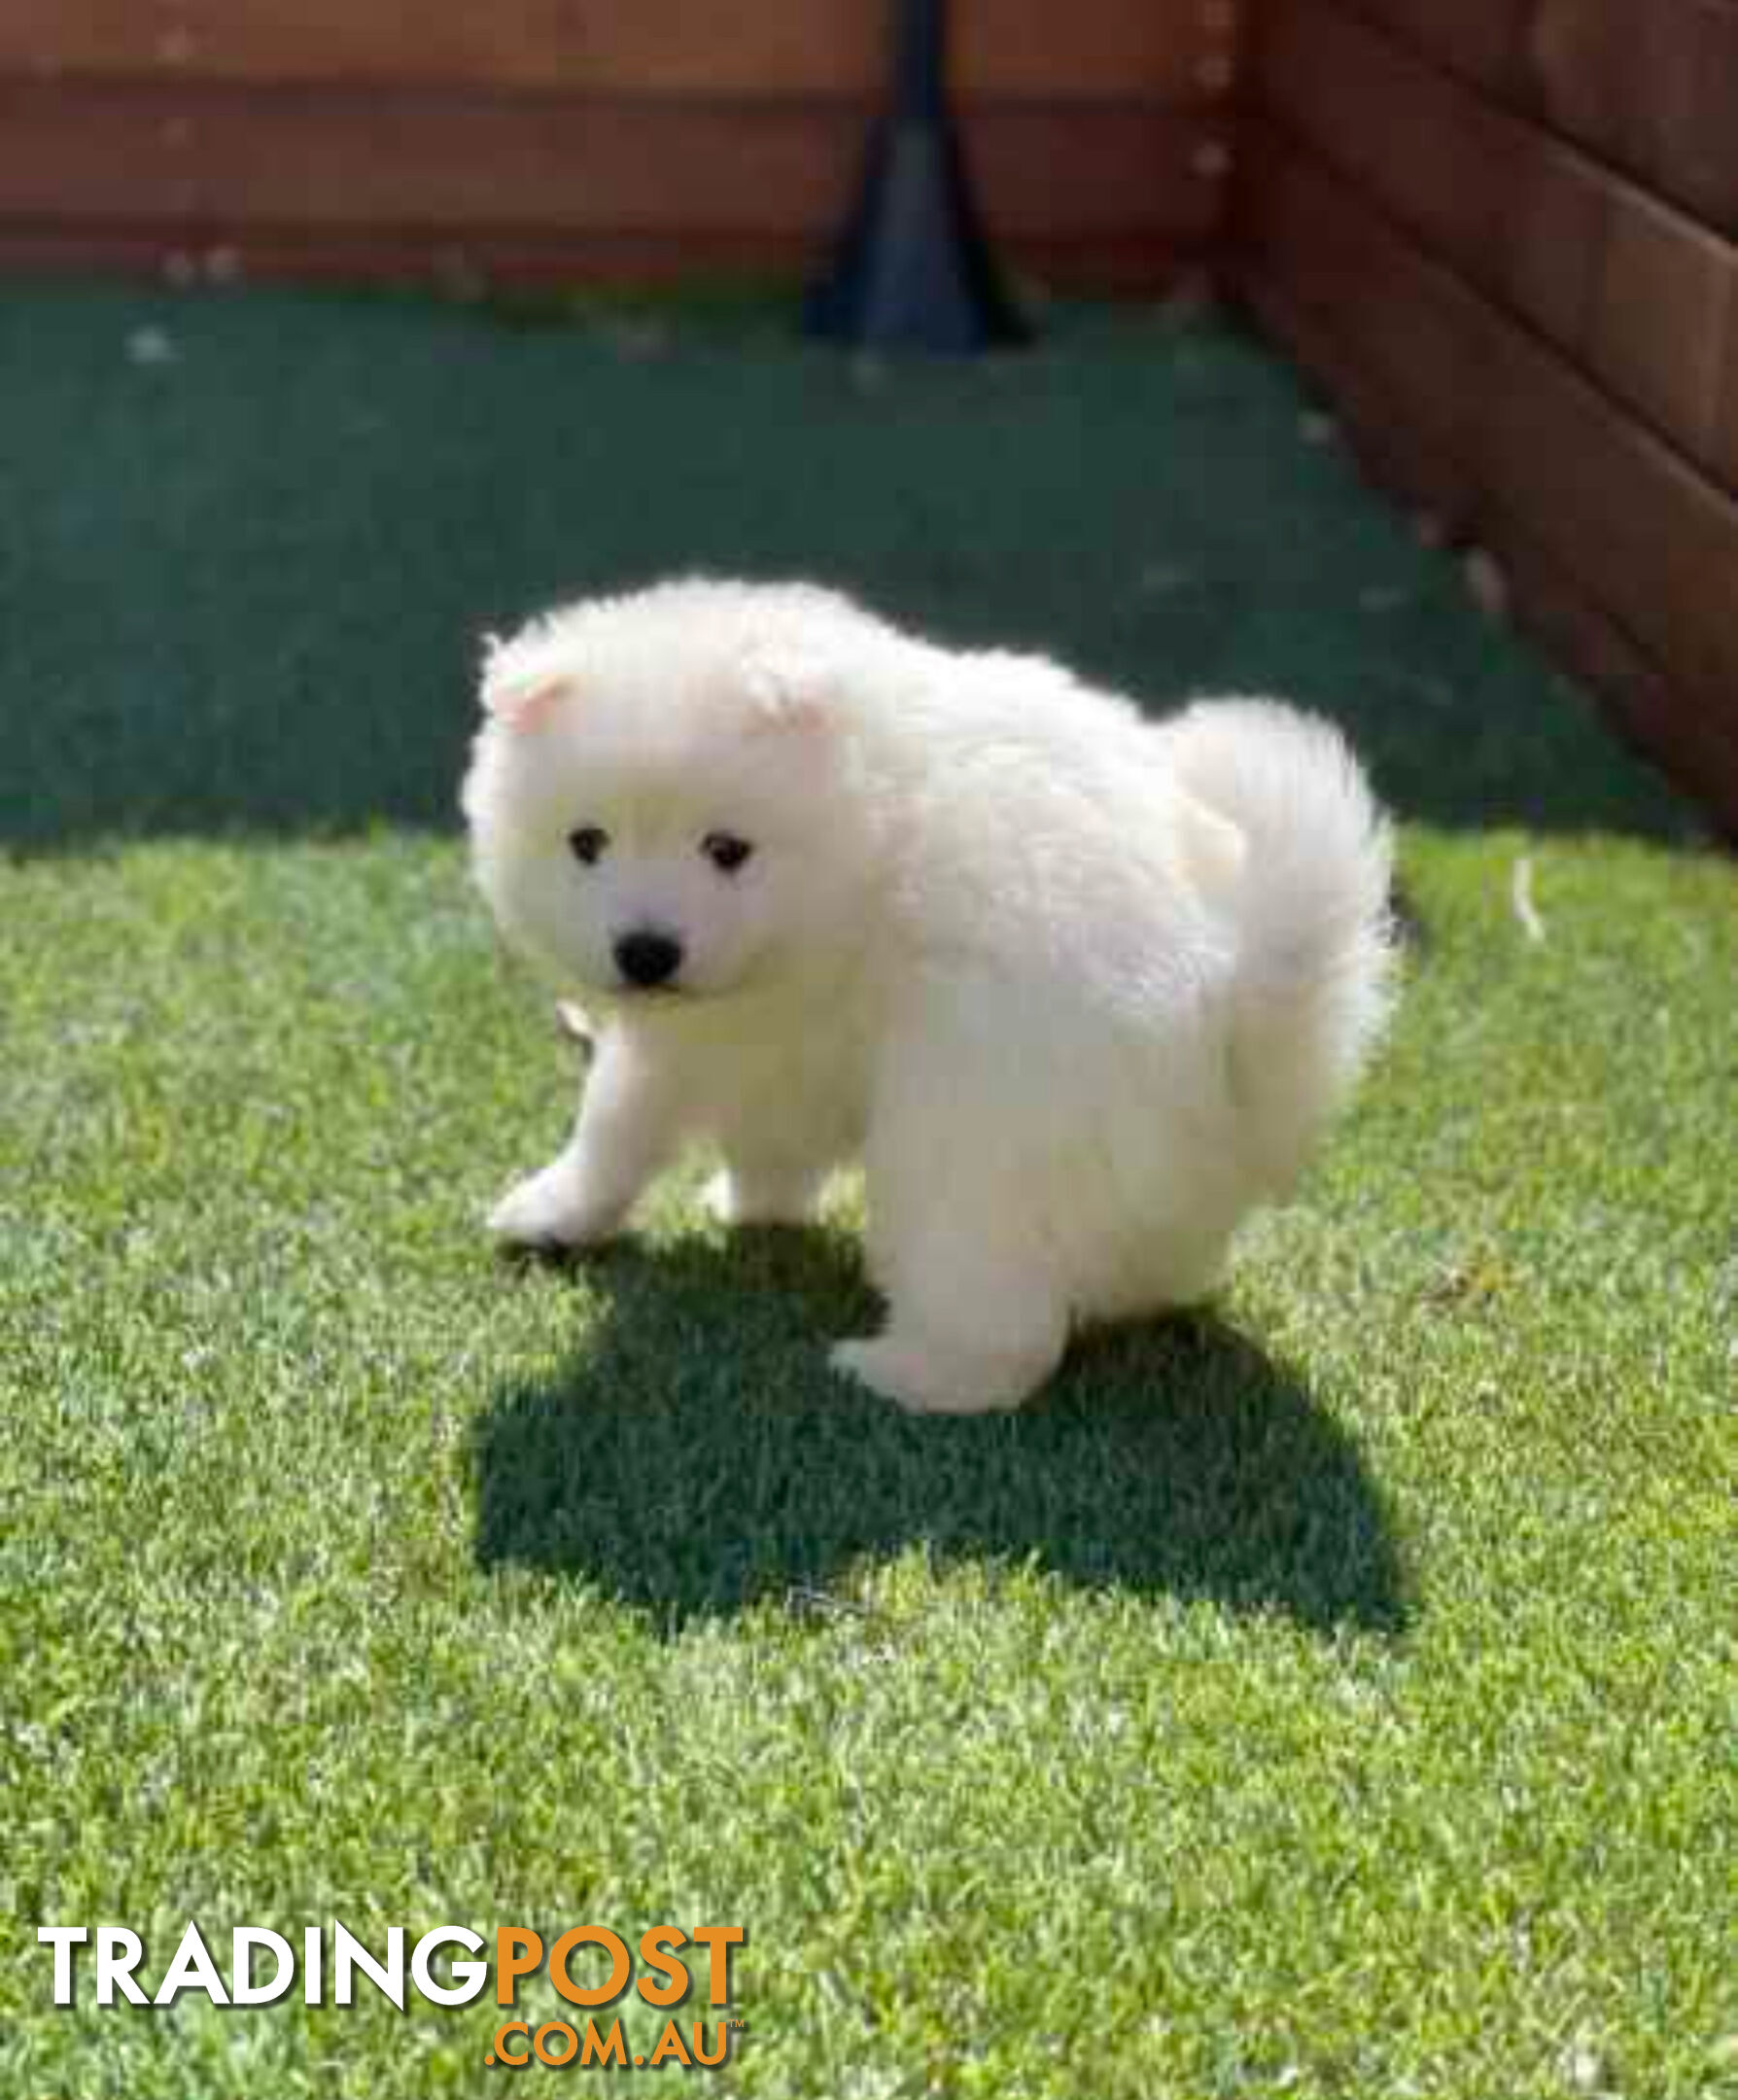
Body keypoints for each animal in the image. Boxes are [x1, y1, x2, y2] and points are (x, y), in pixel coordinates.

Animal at [466, 583, 1402, 1419]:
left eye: (726, 850)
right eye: (586, 843)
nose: (646, 951)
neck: (863, 837)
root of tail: (1238, 1008)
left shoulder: (738, 1035)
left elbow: (617, 1123)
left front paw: (554, 1209)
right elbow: (735, 1137)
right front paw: (744, 1203)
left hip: (964, 1151)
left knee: (1002, 1333)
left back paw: (895, 1373)